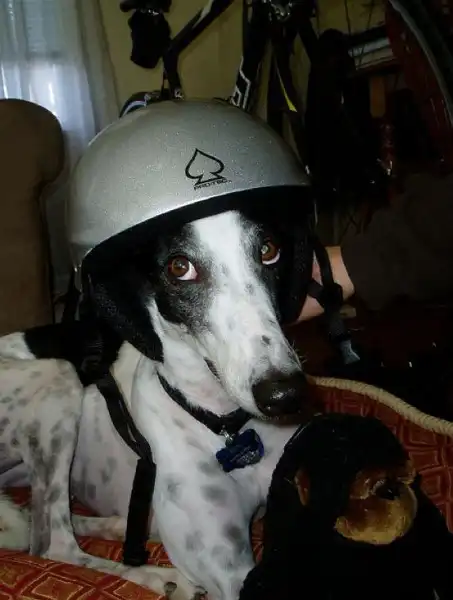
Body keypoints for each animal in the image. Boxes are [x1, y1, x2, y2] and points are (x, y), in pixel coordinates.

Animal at [0, 208, 313, 600]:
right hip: (57, 377)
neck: (225, 425)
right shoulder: (230, 571)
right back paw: (157, 576)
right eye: (180, 267)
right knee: (51, 544)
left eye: (269, 250)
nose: (283, 394)